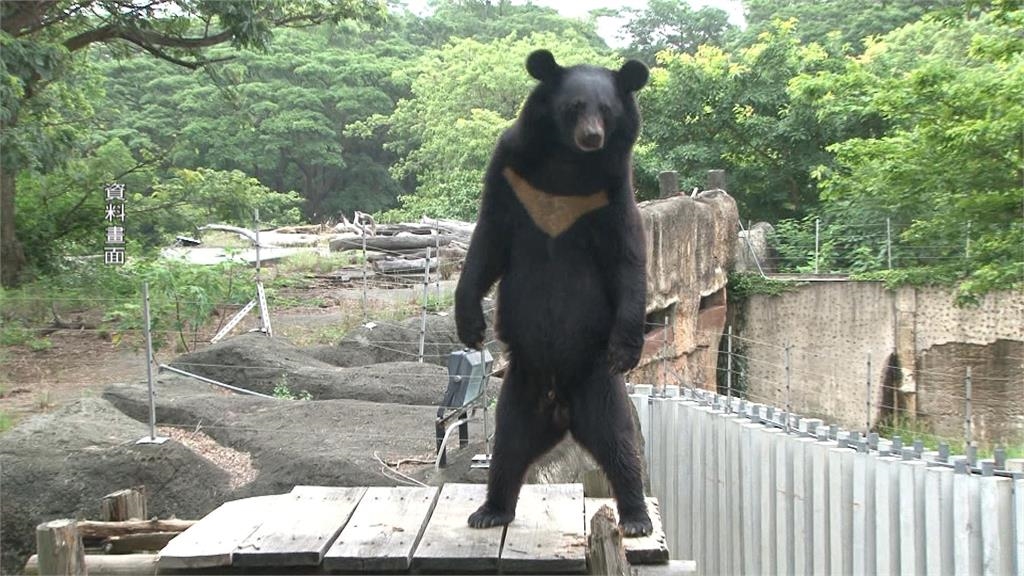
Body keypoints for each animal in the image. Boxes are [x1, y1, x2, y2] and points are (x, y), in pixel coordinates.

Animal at [454, 49, 652, 536]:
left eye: (607, 109)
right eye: (574, 106)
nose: (592, 137)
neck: (568, 164)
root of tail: (562, 413)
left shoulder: (612, 189)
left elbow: (628, 258)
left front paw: (627, 348)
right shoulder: (510, 174)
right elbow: (487, 241)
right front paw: (470, 325)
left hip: (599, 388)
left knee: (621, 448)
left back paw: (636, 518)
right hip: (519, 396)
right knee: (507, 451)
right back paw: (490, 510)